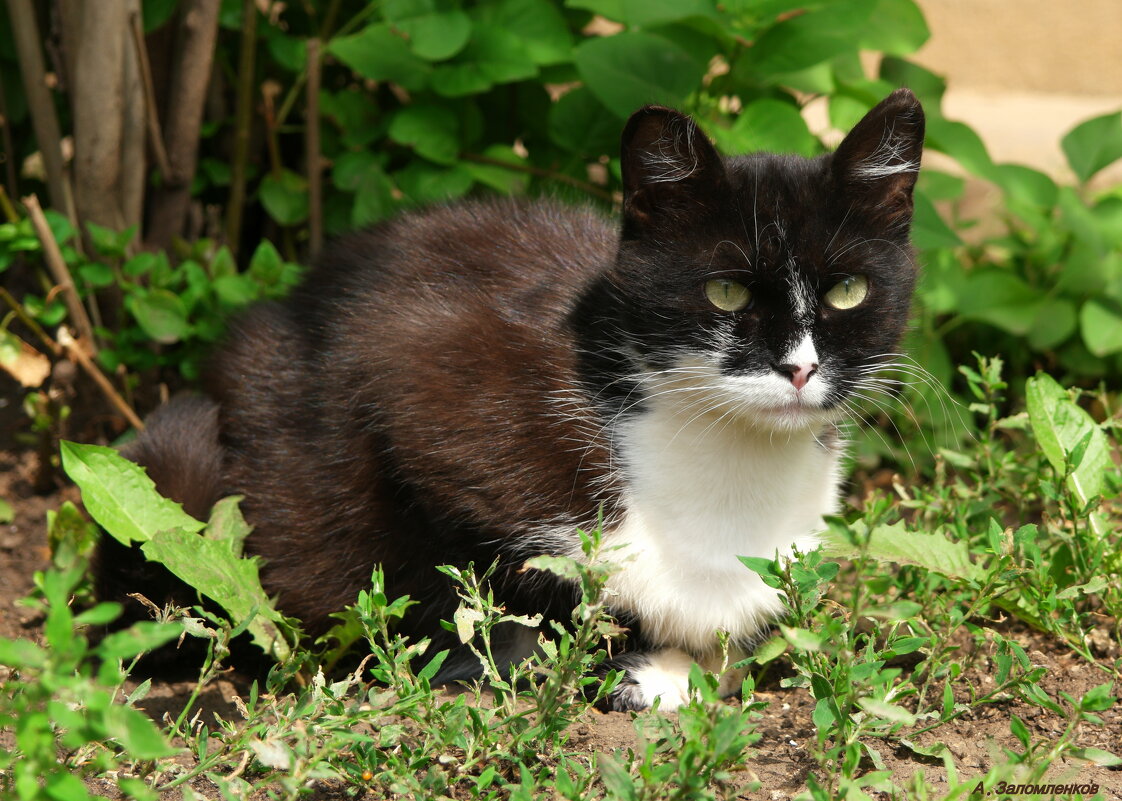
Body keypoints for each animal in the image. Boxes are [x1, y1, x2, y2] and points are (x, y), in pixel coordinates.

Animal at [96, 89, 924, 713]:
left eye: (849, 290)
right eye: (724, 291)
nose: (798, 368)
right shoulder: (412, 373)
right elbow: (474, 586)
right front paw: (627, 667)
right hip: (183, 454)